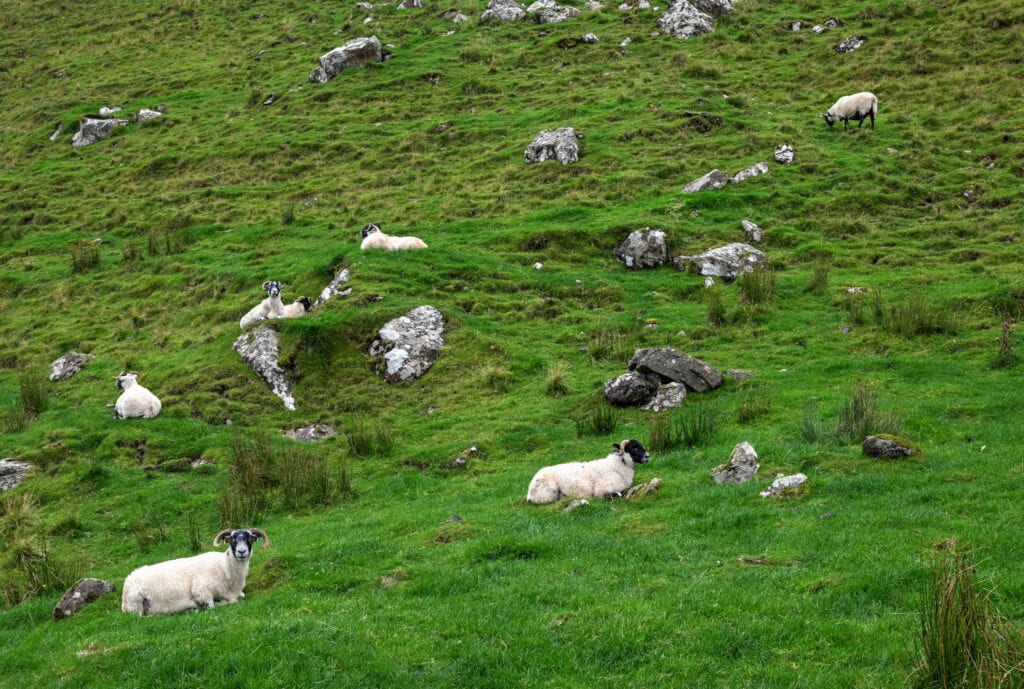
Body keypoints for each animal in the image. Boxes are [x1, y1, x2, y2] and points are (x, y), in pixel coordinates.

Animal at [120, 524, 268, 614]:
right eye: (231, 539)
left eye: (250, 538)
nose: (241, 552)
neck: (225, 567)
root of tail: (128, 578)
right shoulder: (201, 592)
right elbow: (216, 605)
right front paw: (206, 606)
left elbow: (241, 597)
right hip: (135, 605)